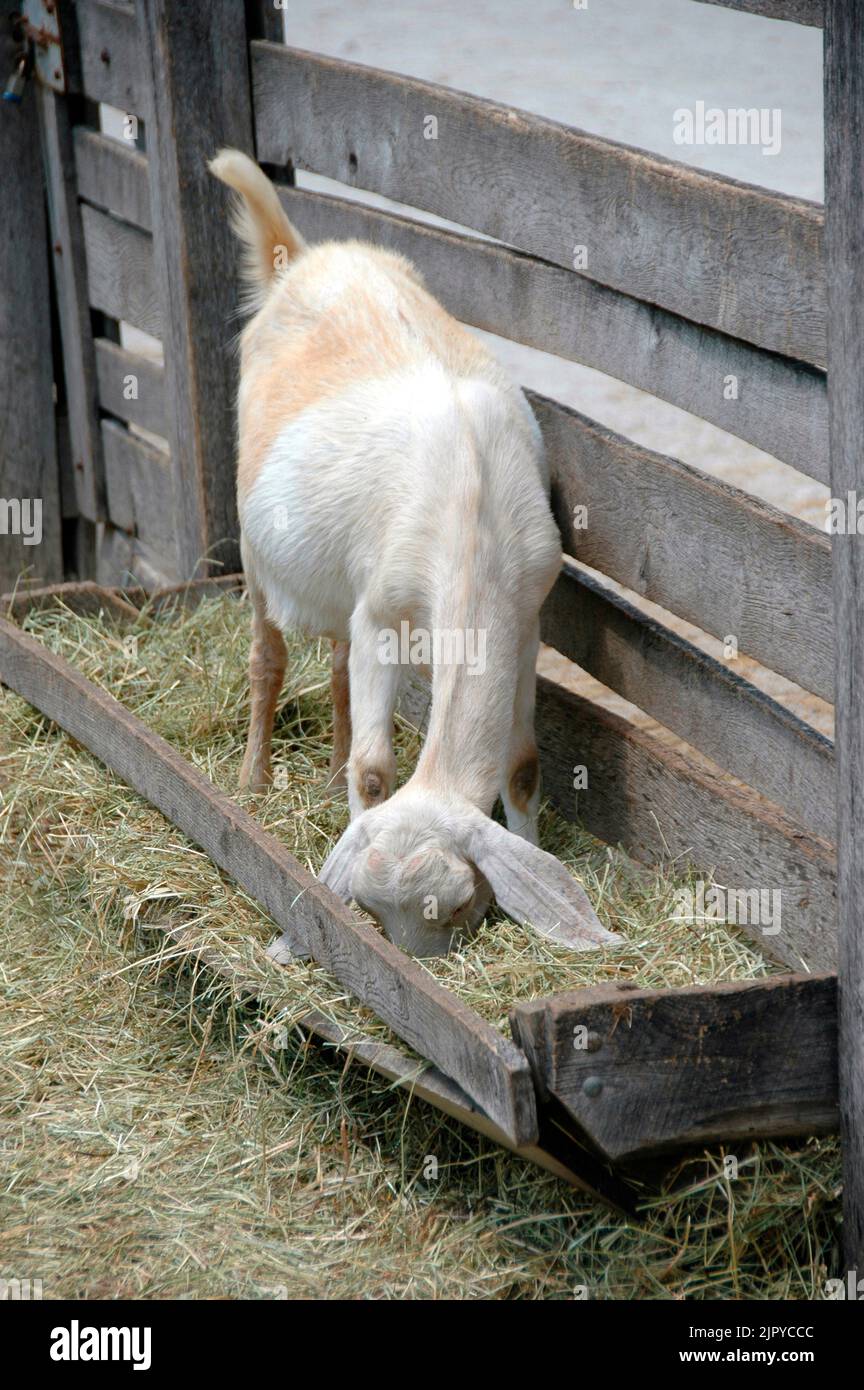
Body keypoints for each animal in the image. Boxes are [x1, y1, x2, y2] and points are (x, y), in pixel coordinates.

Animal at [209, 150, 615, 957]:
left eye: (459, 904)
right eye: (371, 908)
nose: (411, 964)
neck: (472, 519)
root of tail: (302, 257)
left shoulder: (526, 619)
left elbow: (523, 767)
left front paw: (527, 842)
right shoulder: (383, 618)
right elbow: (373, 772)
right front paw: (352, 808)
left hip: (341, 578)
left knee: (334, 667)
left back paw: (320, 767)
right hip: (257, 546)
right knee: (268, 655)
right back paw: (253, 779)